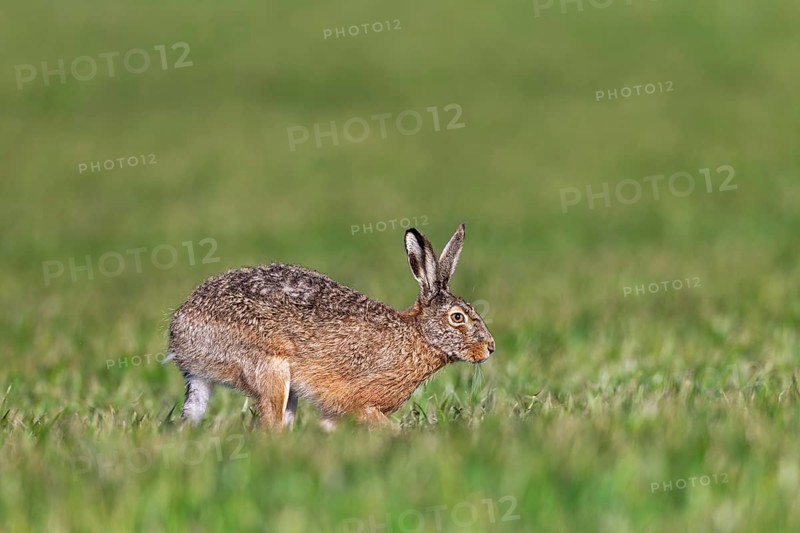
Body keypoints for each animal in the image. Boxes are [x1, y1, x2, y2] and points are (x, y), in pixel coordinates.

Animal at [165, 224, 495, 430]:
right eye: (457, 317)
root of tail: (181, 336)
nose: (490, 347)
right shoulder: (361, 402)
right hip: (269, 370)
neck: (419, 335)